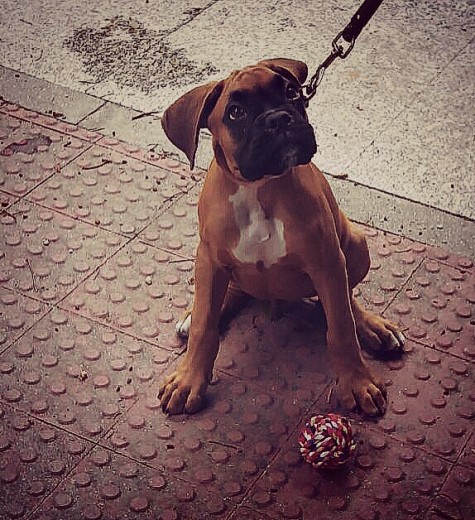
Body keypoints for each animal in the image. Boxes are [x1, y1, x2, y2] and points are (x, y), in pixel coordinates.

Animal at [158, 60, 404, 418]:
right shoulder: (210, 257)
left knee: (346, 299)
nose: (279, 119)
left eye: (291, 92)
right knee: (223, 295)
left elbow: (341, 327)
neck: (260, 188)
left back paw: (372, 327)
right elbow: (205, 327)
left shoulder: (327, 261)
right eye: (235, 112)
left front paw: (357, 384)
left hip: (355, 246)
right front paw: (189, 380)